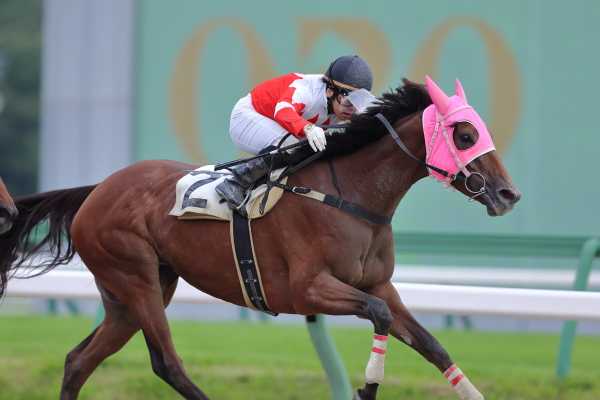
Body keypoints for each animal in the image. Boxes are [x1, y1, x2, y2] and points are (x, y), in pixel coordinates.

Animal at [0, 77, 520, 400]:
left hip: (131, 294)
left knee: (78, 360)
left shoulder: (378, 283)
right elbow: (379, 316)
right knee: (167, 363)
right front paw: (367, 387)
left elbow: (430, 343)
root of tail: (98, 190)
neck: (350, 196)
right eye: (465, 134)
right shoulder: (309, 289)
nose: (508, 194)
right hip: (136, 277)